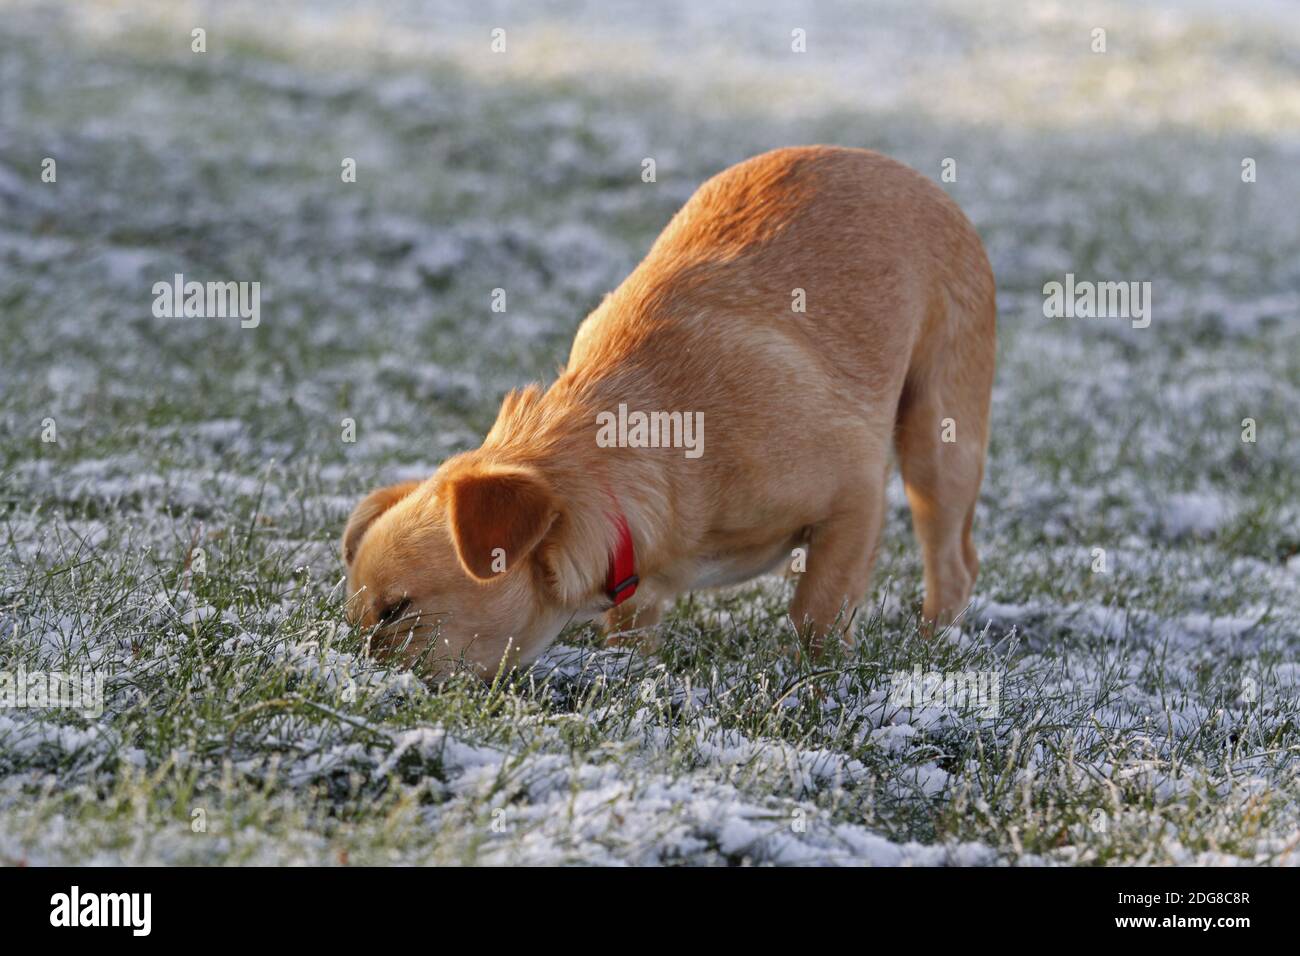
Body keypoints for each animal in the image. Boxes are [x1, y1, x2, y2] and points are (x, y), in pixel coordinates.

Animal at [338, 145, 993, 676]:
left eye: (396, 611)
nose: (362, 678)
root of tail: (908, 173)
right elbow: (634, 631)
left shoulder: (855, 494)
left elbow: (817, 608)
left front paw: (819, 676)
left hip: (938, 443)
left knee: (954, 562)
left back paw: (934, 649)